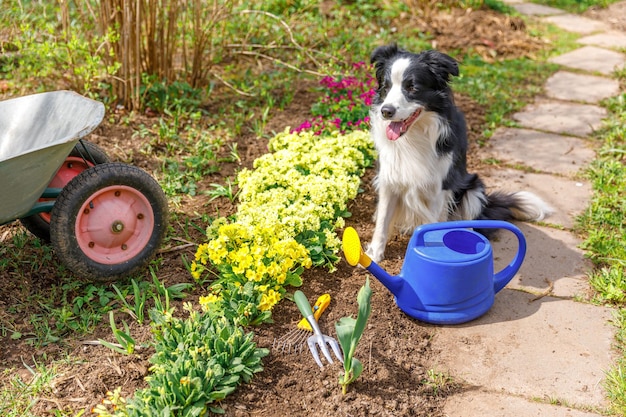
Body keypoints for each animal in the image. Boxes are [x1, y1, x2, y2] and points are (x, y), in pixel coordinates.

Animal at [366, 44, 552, 260]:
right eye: (386, 87)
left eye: (412, 88)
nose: (386, 111)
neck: (414, 135)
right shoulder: (389, 179)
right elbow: (382, 221)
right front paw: (373, 256)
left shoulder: (439, 187)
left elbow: (431, 225)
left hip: (473, 188)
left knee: (468, 222)